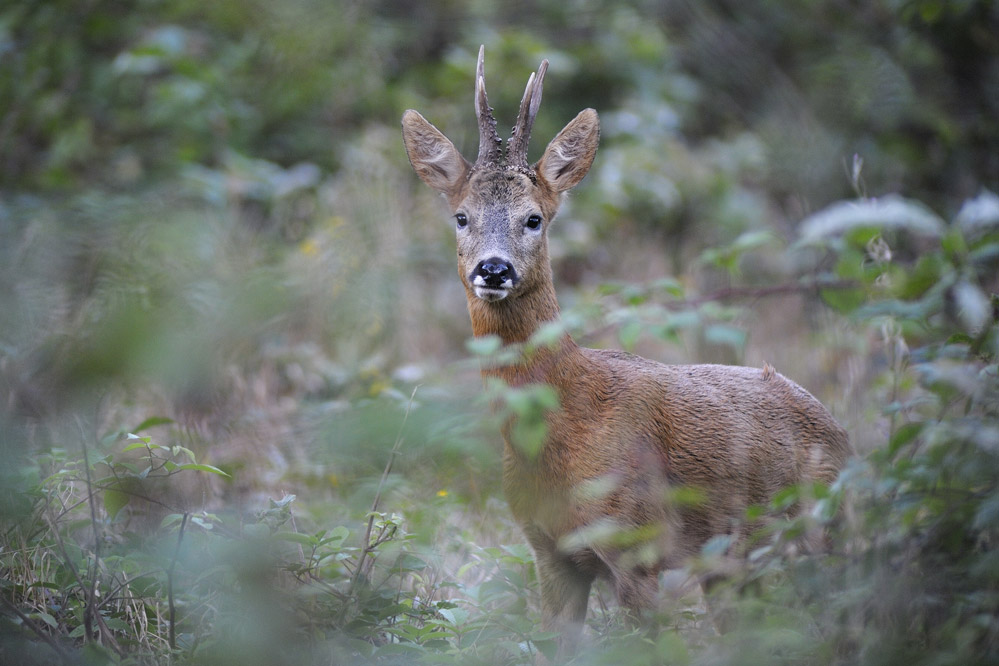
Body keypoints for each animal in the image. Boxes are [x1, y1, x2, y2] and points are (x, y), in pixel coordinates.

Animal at [400, 48, 852, 652]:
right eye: (461, 216)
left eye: (534, 218)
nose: (493, 270)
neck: (564, 424)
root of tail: (843, 433)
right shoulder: (548, 553)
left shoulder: (640, 544)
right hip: (735, 563)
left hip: (822, 527)